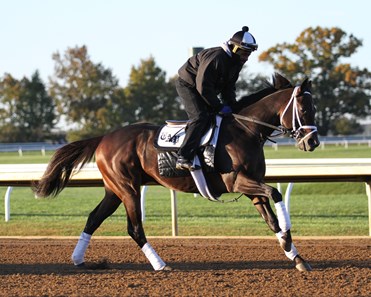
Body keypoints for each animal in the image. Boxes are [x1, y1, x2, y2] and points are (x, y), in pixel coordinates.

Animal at [33, 72, 322, 270]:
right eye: (304, 108)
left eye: (314, 108)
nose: (313, 142)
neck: (245, 130)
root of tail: (104, 137)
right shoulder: (236, 181)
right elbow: (276, 193)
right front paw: (288, 237)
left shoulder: (251, 185)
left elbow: (271, 218)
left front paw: (295, 255)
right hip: (128, 189)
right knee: (134, 228)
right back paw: (160, 264)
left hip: (114, 190)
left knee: (94, 218)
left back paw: (78, 259)